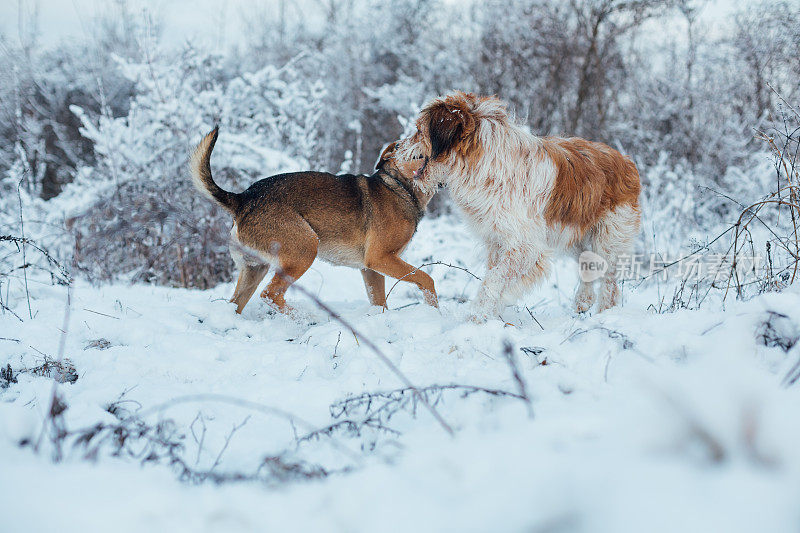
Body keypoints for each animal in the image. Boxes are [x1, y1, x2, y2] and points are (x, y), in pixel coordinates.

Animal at [189, 127, 438, 314]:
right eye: (398, 146)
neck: (400, 187)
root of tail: (243, 198)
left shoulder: (371, 270)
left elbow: (380, 303)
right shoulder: (380, 258)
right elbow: (426, 279)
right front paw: (436, 311)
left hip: (255, 268)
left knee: (236, 304)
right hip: (305, 248)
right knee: (270, 294)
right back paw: (306, 319)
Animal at [396, 91, 640, 320]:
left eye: (418, 130)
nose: (397, 145)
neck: (484, 164)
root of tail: (625, 159)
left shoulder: (525, 246)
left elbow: (494, 279)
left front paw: (478, 316)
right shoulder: (497, 241)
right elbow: (494, 273)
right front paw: (492, 314)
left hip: (608, 238)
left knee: (609, 279)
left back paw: (606, 312)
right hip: (570, 235)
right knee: (587, 262)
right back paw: (583, 300)